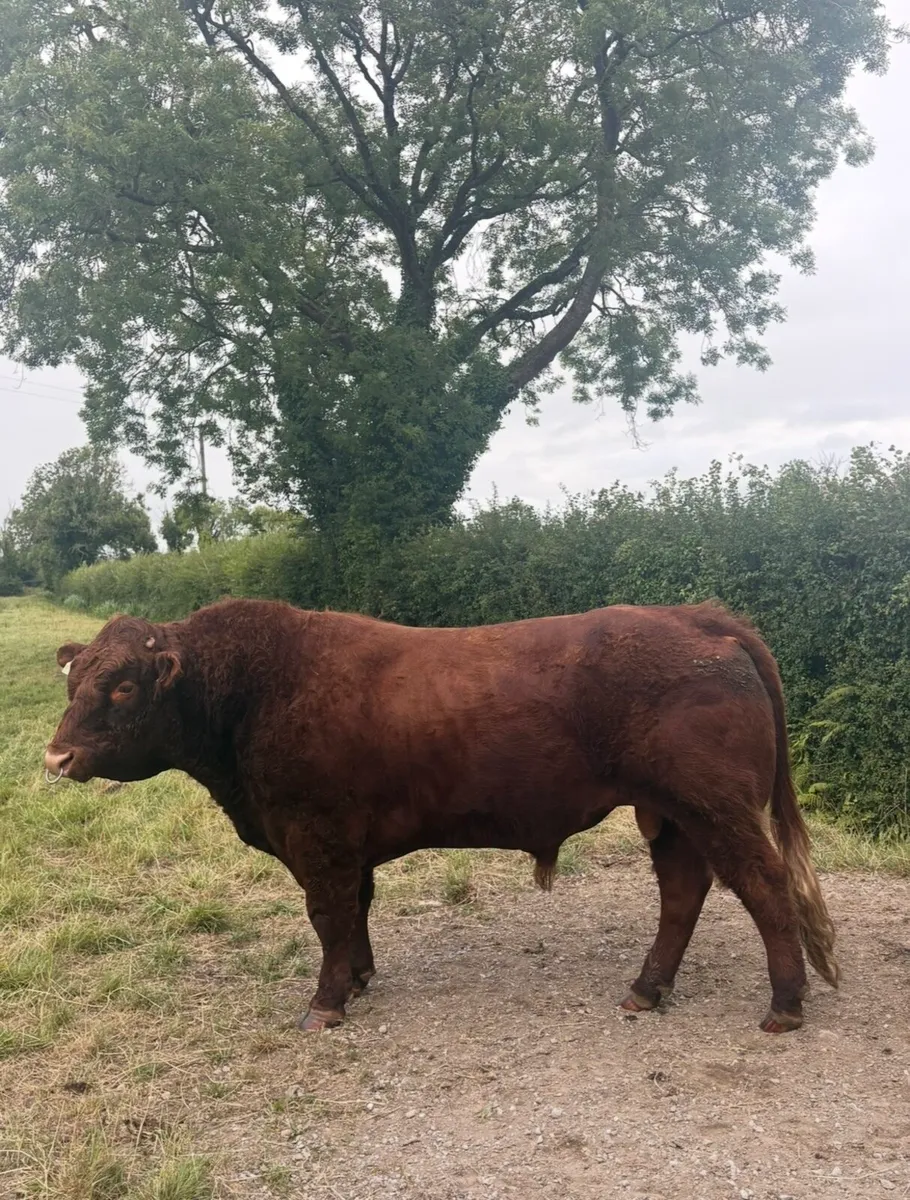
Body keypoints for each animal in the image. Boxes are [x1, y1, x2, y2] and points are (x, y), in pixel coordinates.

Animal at [44, 598, 839, 1035]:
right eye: (75, 680)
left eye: (122, 687)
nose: (56, 756)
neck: (251, 692)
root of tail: (698, 618)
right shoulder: (347, 844)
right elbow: (355, 913)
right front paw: (359, 977)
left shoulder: (317, 837)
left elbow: (328, 917)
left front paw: (326, 1003)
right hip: (671, 814)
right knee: (683, 894)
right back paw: (647, 990)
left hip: (718, 809)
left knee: (765, 889)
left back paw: (785, 1004)